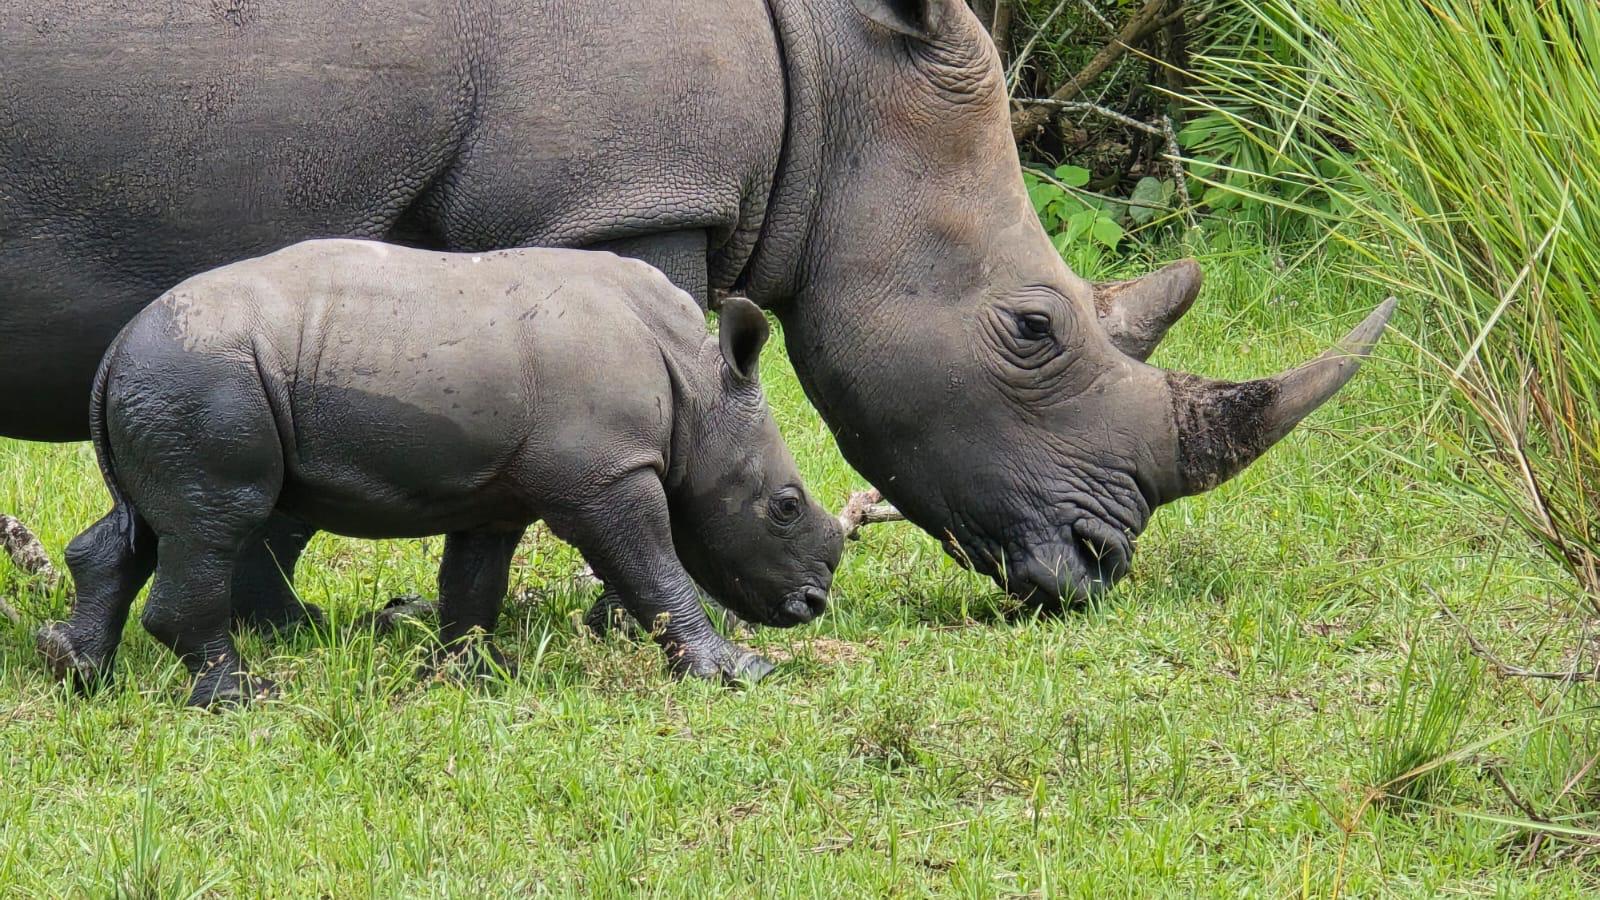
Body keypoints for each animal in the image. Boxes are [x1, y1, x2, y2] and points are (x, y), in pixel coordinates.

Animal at [0, 0, 1391, 621]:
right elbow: (672, 386)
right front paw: (653, 615)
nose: (1100, 567)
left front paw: (286, 622)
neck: (835, 64)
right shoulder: (619, 190)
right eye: (1032, 331)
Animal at [35, 240, 845, 705]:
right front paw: (740, 674)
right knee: (215, 523)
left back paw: (77, 674)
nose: (810, 606)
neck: (698, 388)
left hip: (172, 383)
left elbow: (474, 581)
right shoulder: (606, 476)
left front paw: (473, 679)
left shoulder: (500, 489)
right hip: (202, 379)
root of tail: (116, 350)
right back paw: (245, 698)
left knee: (153, 525)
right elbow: (656, 569)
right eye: (785, 506)